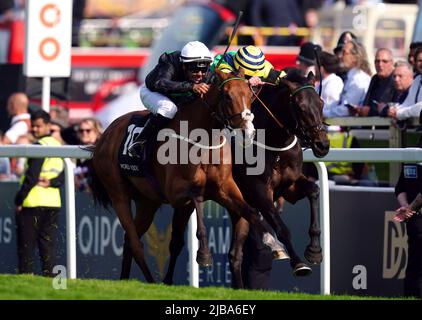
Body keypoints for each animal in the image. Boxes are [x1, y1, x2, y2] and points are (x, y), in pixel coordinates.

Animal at [89, 68, 286, 282]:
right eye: (227, 95)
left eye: (250, 95)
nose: (247, 132)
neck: (204, 140)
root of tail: (104, 135)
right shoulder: (177, 193)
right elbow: (197, 197)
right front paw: (204, 254)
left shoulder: (224, 189)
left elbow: (250, 212)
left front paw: (275, 244)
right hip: (118, 194)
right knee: (135, 242)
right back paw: (149, 281)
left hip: (148, 201)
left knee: (129, 240)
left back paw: (126, 279)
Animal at [162, 69, 330, 288]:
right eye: (300, 107)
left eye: (321, 103)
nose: (322, 145)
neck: (275, 147)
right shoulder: (259, 191)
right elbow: (282, 227)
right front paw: (299, 263)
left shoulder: (289, 186)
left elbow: (313, 190)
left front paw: (314, 250)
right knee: (176, 242)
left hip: (237, 210)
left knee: (234, 255)